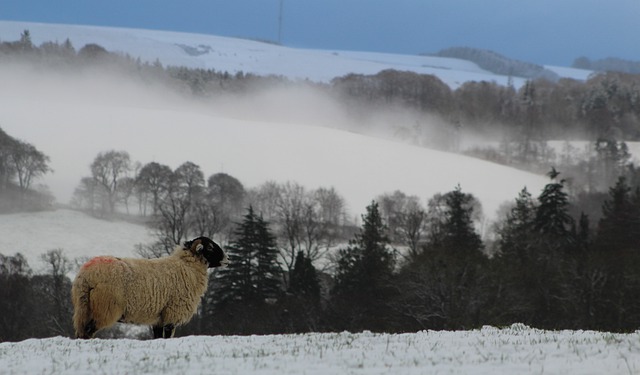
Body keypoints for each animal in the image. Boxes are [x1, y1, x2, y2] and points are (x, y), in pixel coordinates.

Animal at [71, 238, 228, 340]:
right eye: (210, 247)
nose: (227, 259)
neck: (187, 266)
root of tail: (87, 274)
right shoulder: (172, 312)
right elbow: (168, 335)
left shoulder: (158, 317)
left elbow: (157, 337)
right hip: (105, 308)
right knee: (88, 330)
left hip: (83, 307)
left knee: (81, 332)